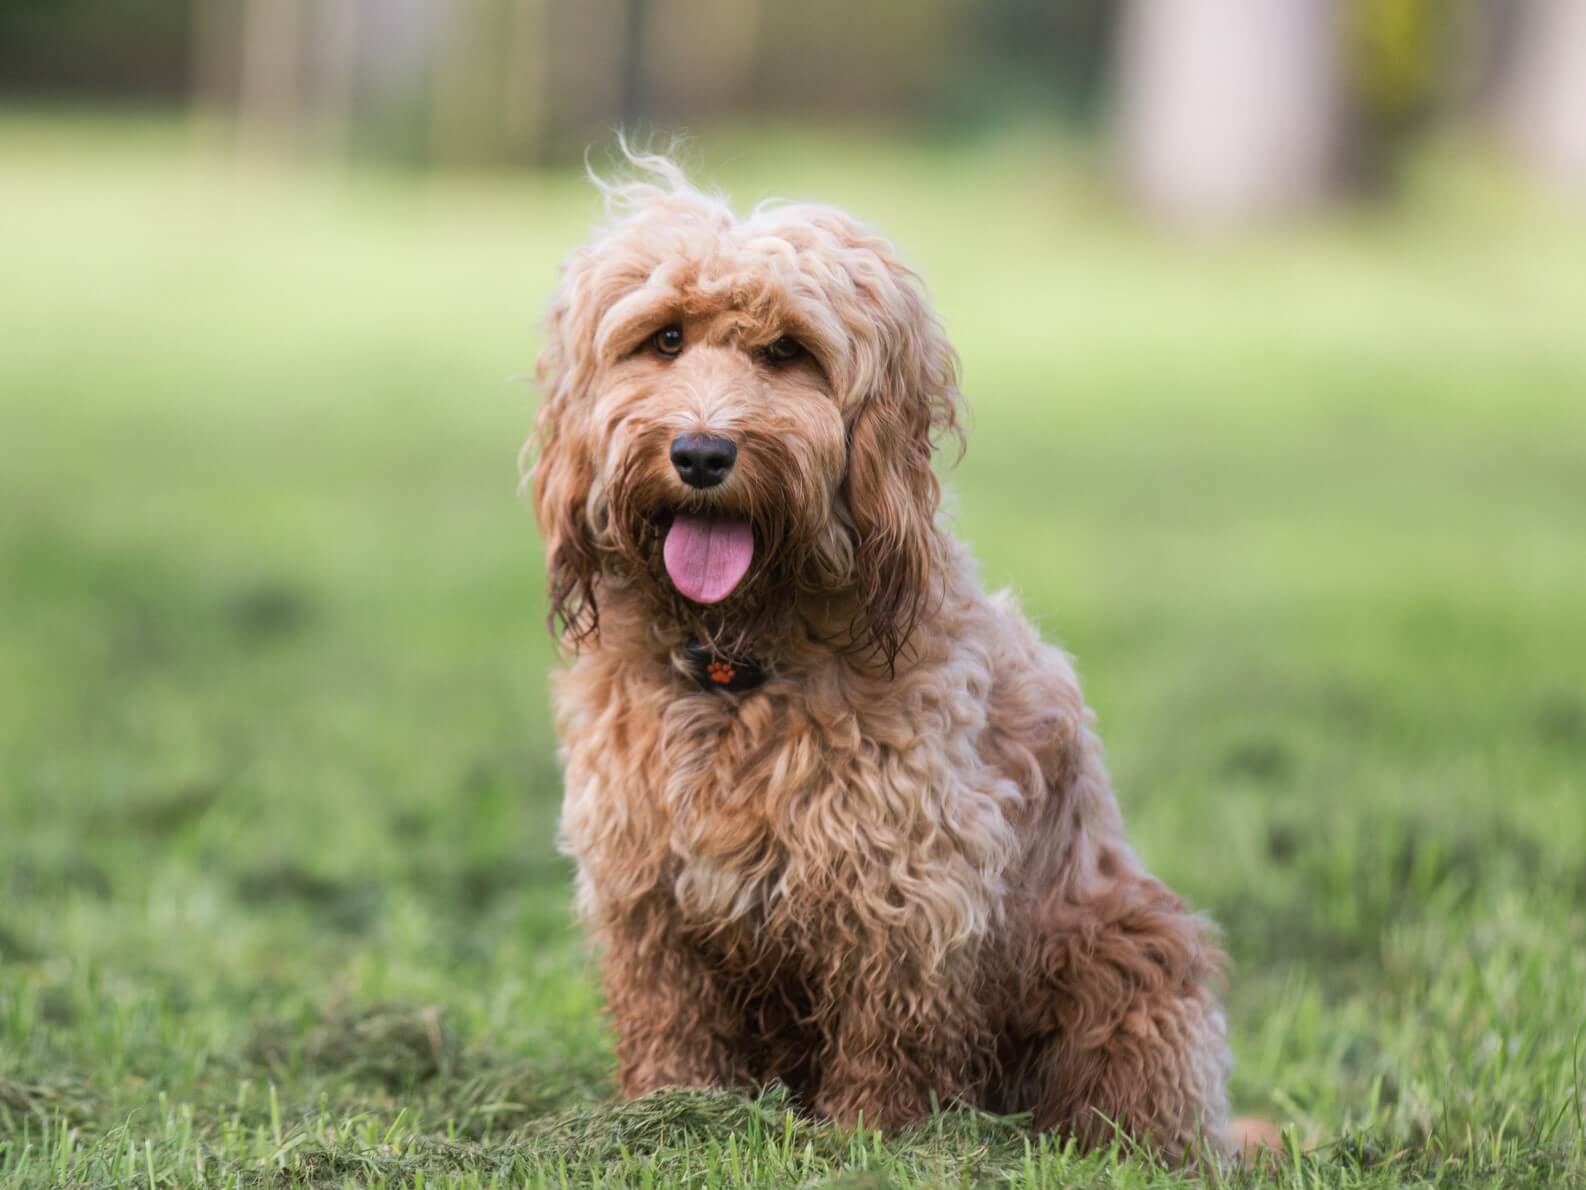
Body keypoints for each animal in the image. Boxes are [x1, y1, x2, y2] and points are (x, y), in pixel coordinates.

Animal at [526, 149, 1230, 1167]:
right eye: (664, 339)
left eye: (788, 352)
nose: (700, 452)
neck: (740, 665)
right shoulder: (647, 888)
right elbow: (671, 1021)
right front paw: (669, 1113)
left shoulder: (908, 885)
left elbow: (888, 1035)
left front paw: (870, 1138)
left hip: (1128, 958)